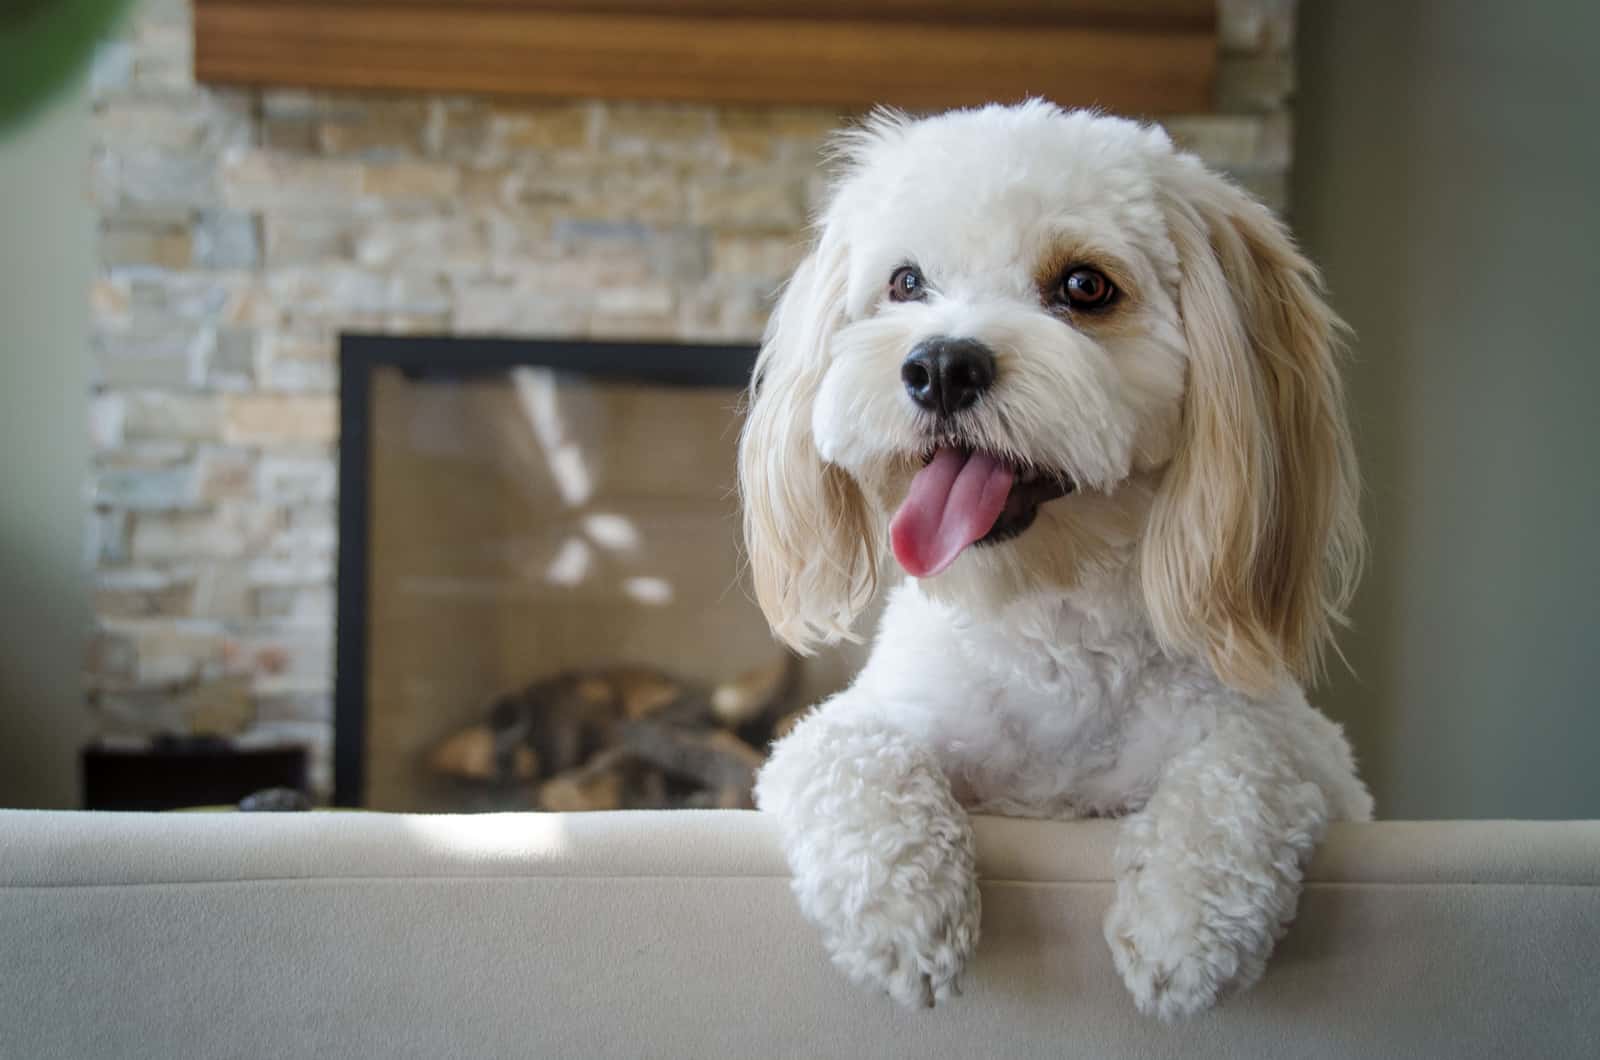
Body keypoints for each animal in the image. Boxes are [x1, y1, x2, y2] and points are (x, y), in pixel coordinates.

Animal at [736, 101, 1376, 1024]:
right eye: (905, 283)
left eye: (1084, 287)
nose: (940, 365)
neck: (1049, 617)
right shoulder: (870, 720)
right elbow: (847, 750)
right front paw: (903, 912)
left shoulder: (1314, 756)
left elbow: (1250, 767)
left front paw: (1185, 920)